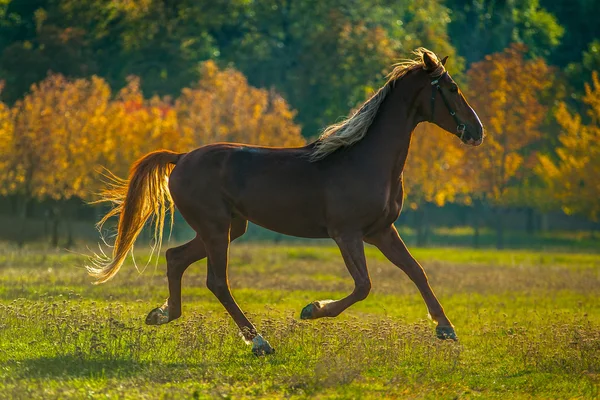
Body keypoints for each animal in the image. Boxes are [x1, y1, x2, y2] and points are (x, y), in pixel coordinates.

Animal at [88, 48, 482, 354]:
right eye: (451, 88)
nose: (477, 131)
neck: (364, 159)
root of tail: (182, 157)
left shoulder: (381, 231)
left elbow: (416, 271)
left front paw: (445, 328)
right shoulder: (347, 234)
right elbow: (363, 286)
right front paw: (312, 309)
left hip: (229, 227)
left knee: (175, 258)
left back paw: (163, 314)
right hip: (216, 229)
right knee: (217, 281)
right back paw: (259, 341)